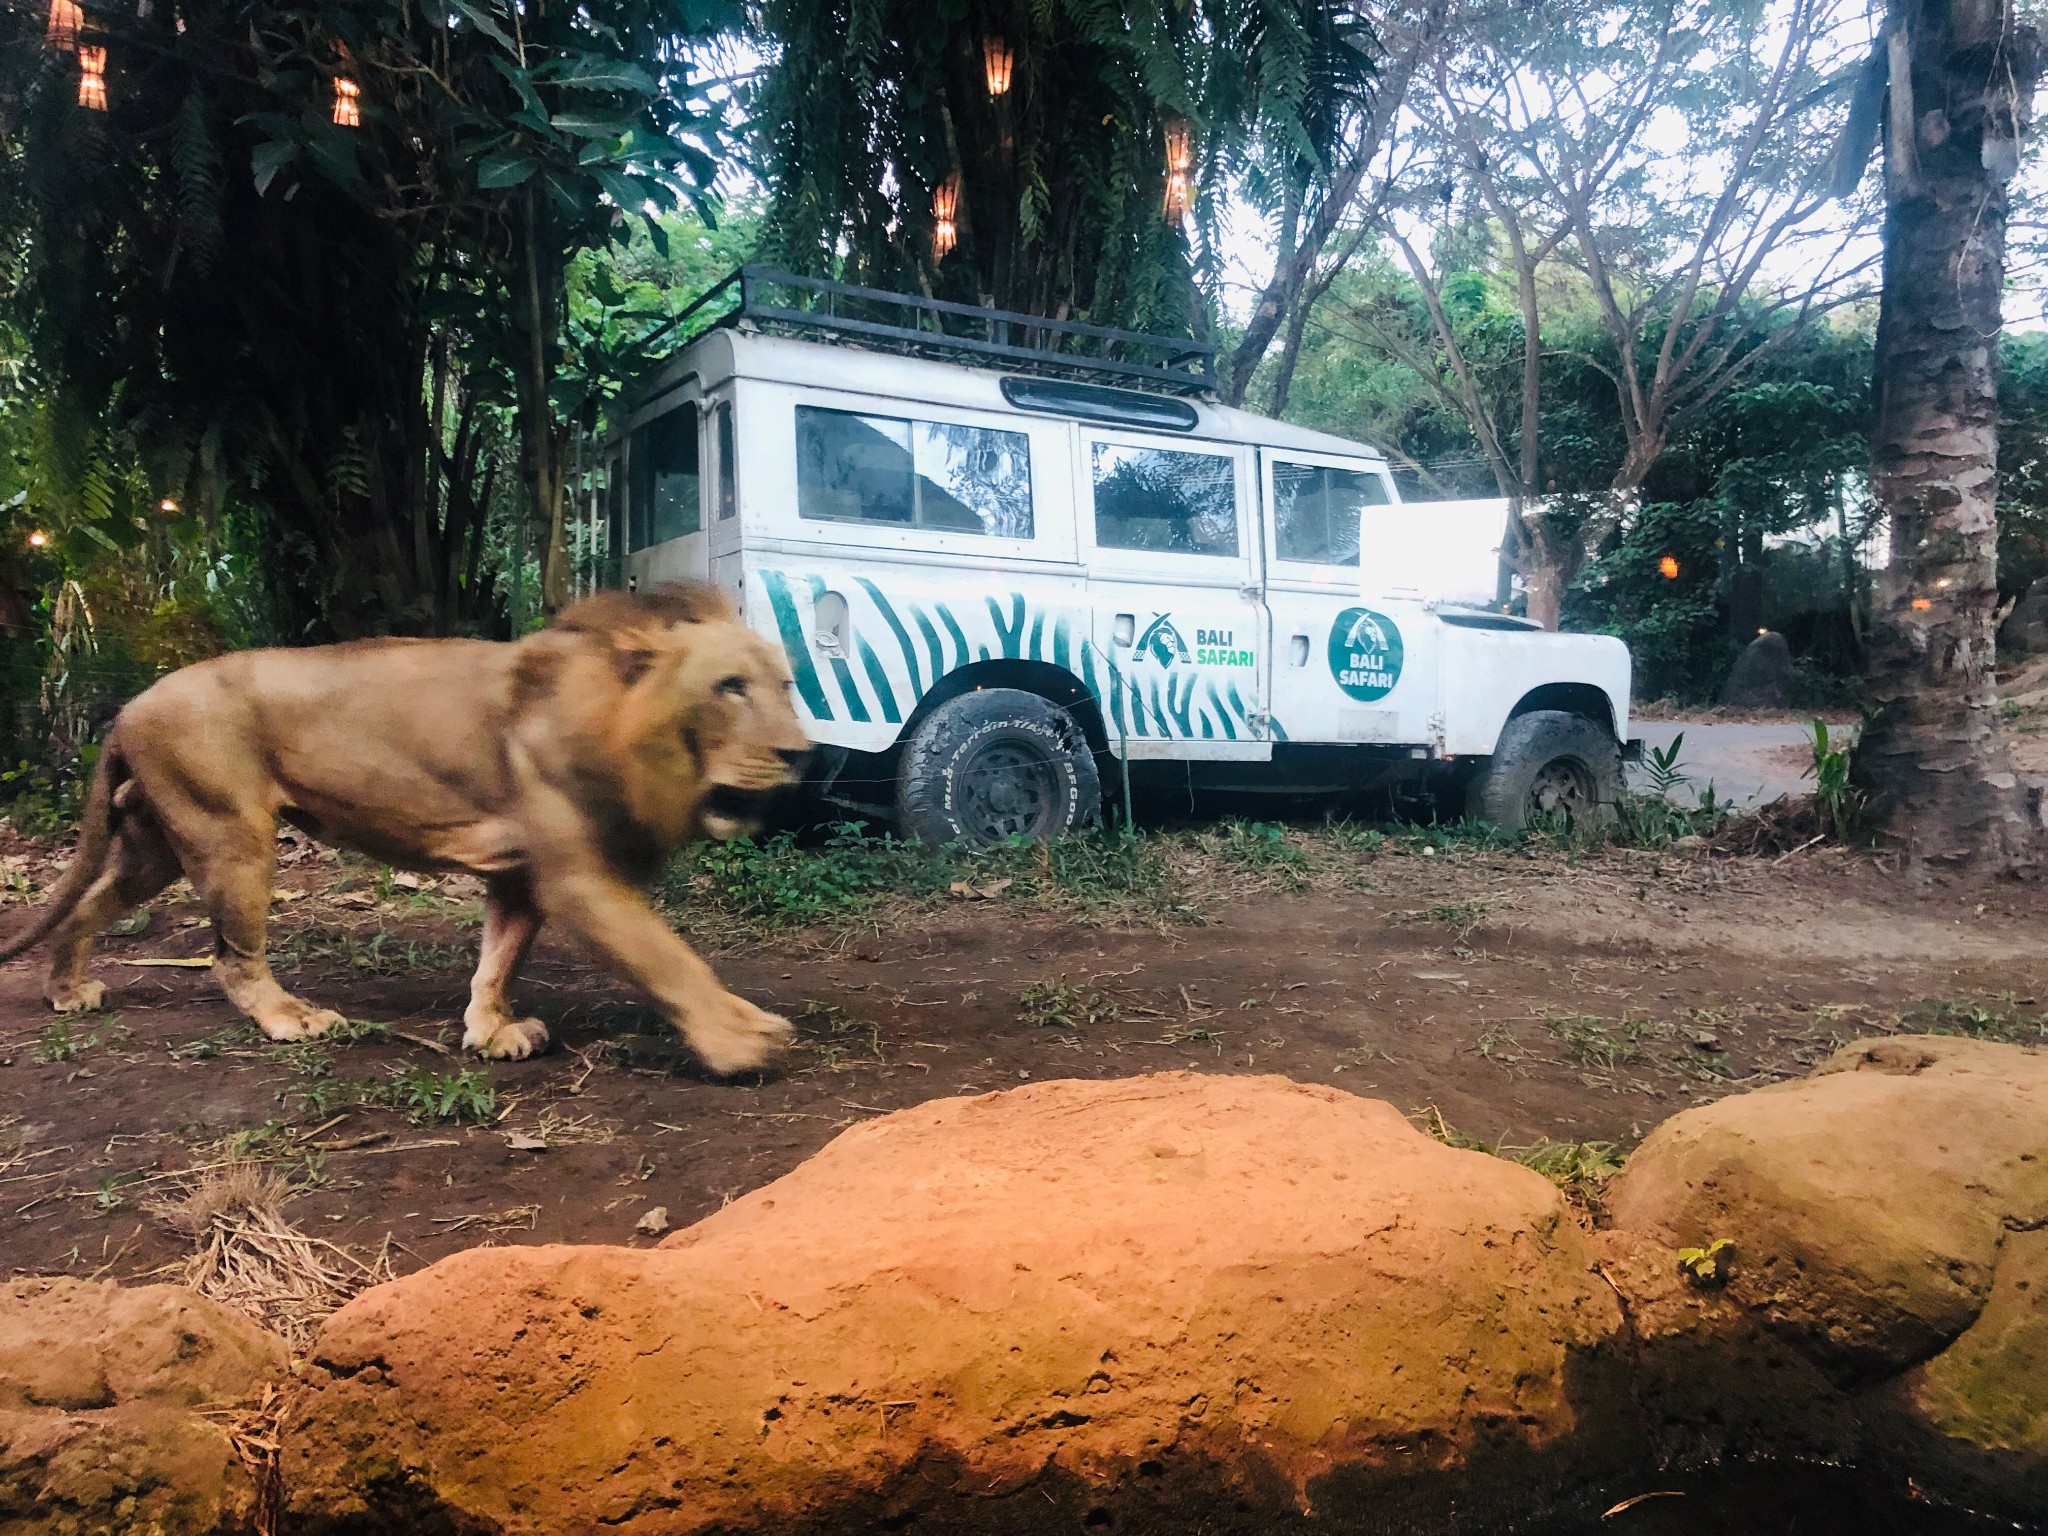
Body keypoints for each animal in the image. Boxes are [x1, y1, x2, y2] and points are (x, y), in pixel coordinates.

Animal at [0, 581, 815, 1073]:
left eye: (785, 686)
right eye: (730, 688)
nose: (804, 755)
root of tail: (128, 707)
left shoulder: (523, 873)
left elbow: (498, 960)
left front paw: (491, 1032)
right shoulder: (580, 878)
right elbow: (669, 959)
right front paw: (743, 1038)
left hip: (158, 845)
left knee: (89, 903)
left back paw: (67, 991)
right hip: (230, 837)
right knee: (232, 958)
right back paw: (291, 1018)